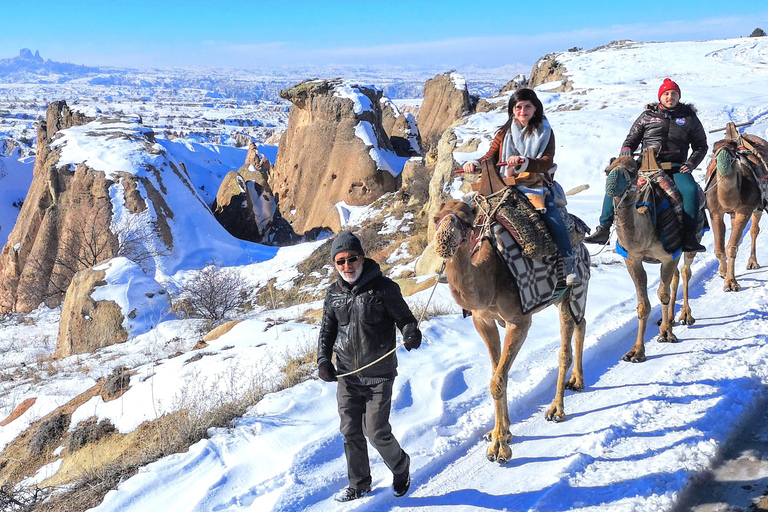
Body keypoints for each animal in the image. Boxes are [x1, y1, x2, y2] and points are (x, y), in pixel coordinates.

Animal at [432, 198, 588, 462]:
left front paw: (499, 449)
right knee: (581, 322)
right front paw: (501, 432)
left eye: (466, 218)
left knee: (565, 348)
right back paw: (577, 382)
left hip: (572, 290)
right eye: (435, 218)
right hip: (564, 298)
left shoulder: (518, 321)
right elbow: (496, 374)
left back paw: (556, 410)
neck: (489, 278)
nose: (444, 241)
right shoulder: (483, 321)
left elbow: (498, 380)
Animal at [608, 150, 704, 362]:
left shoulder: (668, 256)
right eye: (607, 170)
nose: (611, 185)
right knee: (676, 277)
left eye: (631, 171)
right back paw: (670, 318)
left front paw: (666, 334)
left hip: (691, 243)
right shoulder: (633, 259)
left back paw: (685, 316)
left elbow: (663, 294)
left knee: (685, 272)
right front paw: (635, 352)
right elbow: (643, 305)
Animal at [704, 122, 764, 292]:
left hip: (757, 207)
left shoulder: (745, 210)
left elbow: (732, 247)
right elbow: (719, 248)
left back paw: (752, 262)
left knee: (754, 229)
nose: (723, 159)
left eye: (733, 148)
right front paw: (723, 272)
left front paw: (731, 283)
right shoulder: (715, 212)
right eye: (714, 149)